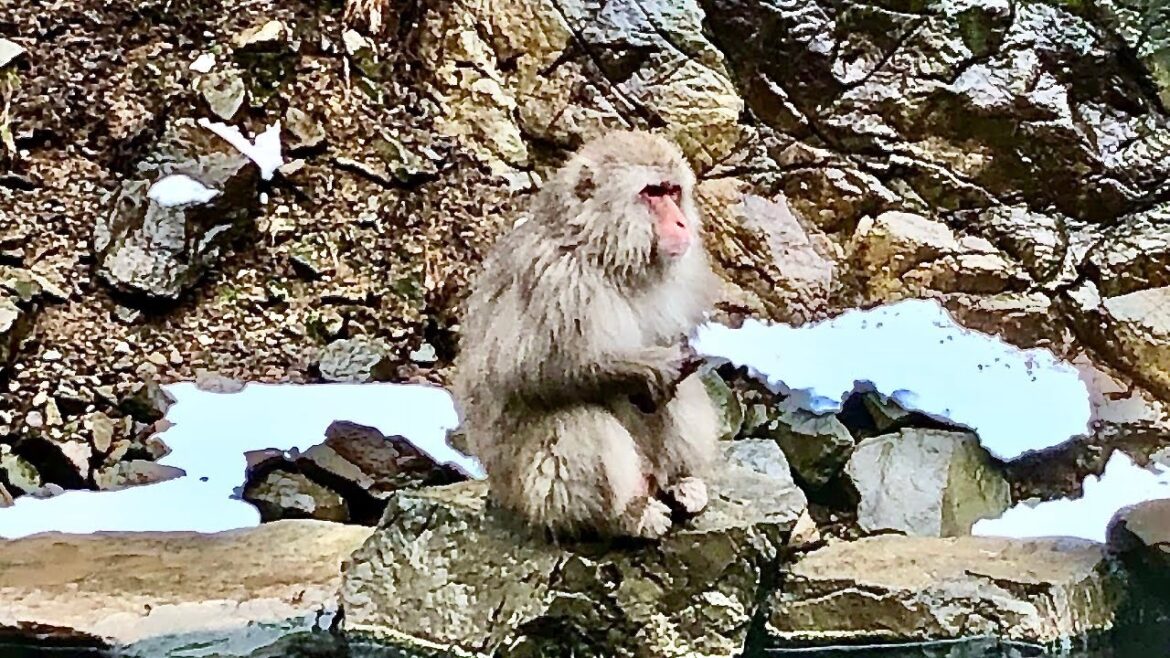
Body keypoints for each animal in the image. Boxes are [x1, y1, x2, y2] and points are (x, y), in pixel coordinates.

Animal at [451, 130, 722, 540]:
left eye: (673, 191)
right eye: (652, 193)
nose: (680, 223)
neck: (603, 253)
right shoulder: (558, 282)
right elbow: (531, 374)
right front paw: (654, 368)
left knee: (684, 393)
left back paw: (680, 482)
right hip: (532, 492)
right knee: (577, 418)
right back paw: (626, 516)